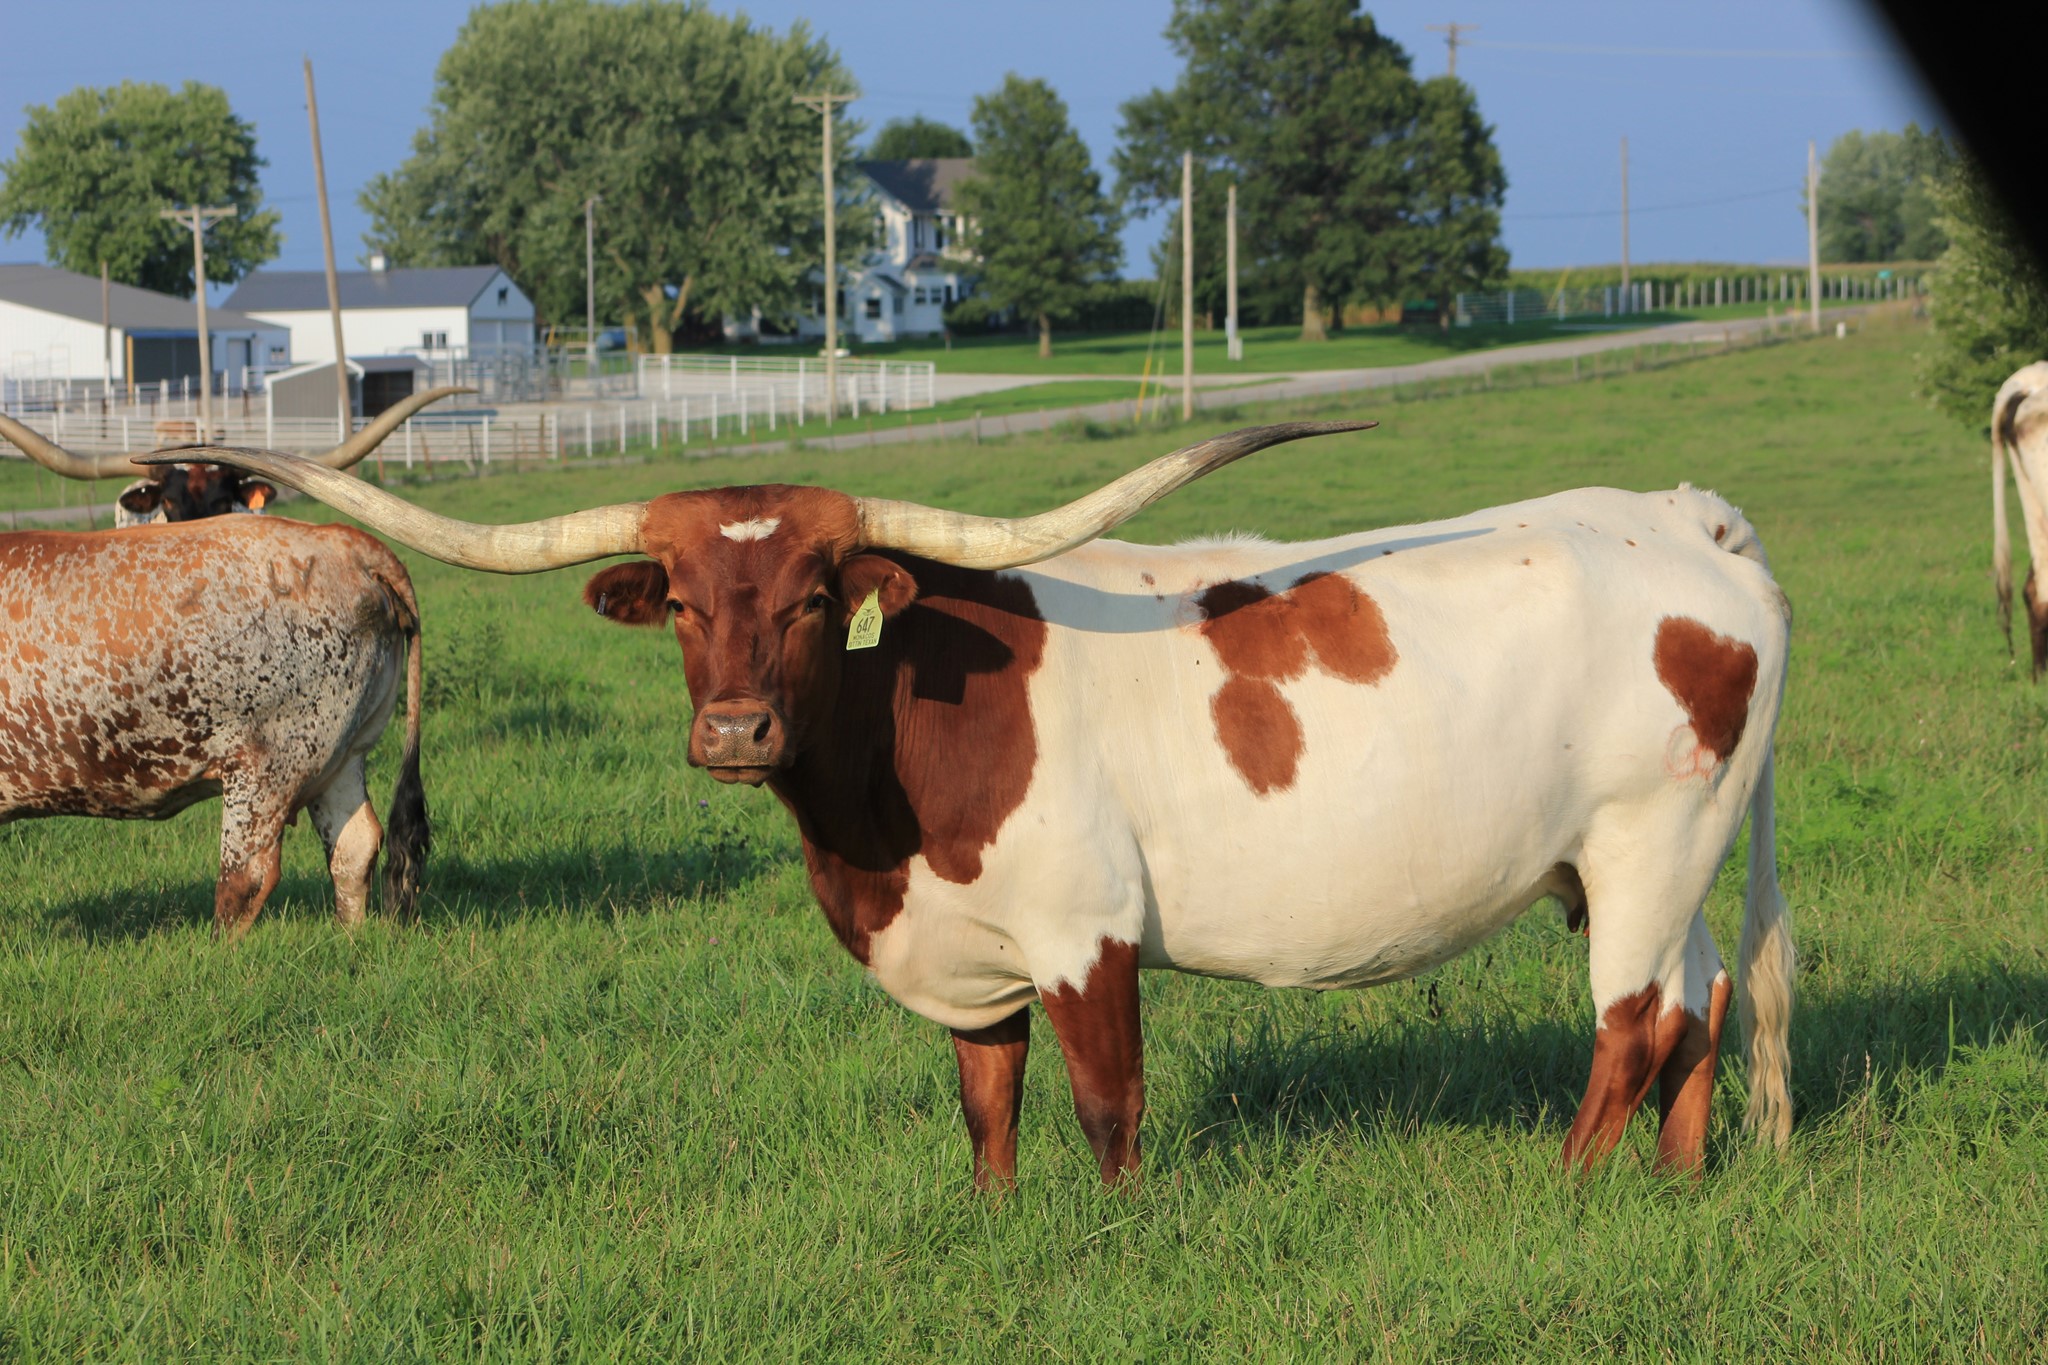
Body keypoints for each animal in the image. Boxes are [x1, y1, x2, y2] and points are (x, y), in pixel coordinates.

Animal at [0, 516, 428, 937]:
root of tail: (347, 541)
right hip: (341, 756)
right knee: (353, 847)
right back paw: (349, 936)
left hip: (265, 767)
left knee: (246, 877)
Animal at [174, 423, 1793, 1182]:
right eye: (684, 600)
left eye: (817, 597)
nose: (735, 729)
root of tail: (1677, 517)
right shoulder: (971, 955)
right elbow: (987, 1104)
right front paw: (998, 1215)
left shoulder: (1090, 931)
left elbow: (1104, 1103)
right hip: (1664, 858)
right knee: (1703, 1004)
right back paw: (1674, 1181)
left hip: (1642, 847)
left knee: (1630, 1025)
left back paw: (1572, 1188)